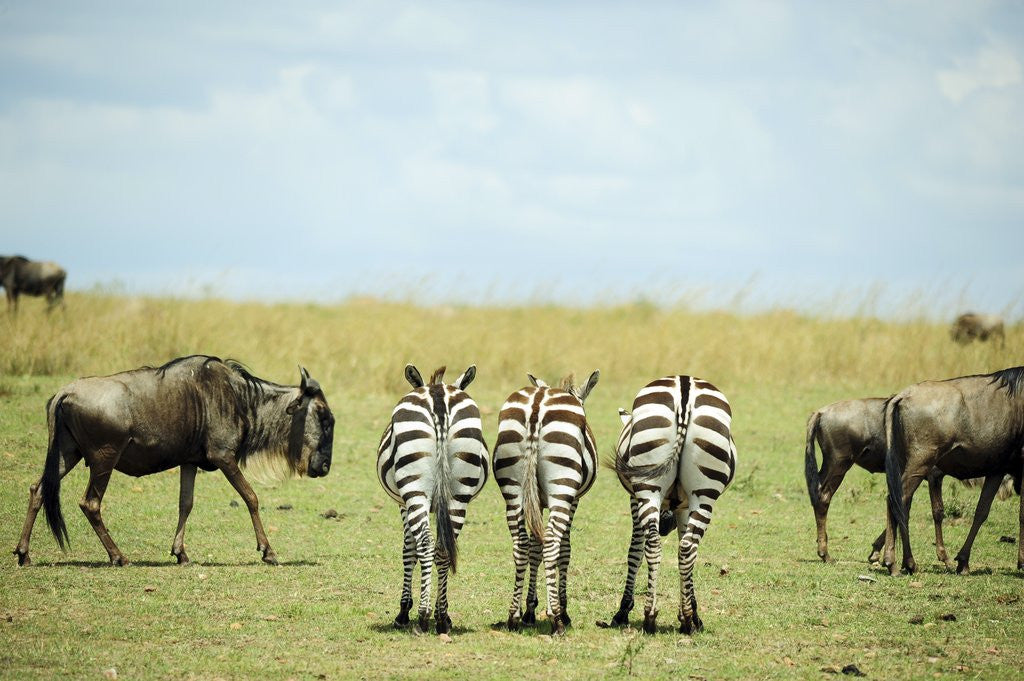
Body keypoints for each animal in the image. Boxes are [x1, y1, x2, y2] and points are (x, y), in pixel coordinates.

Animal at [375, 364, 489, 634]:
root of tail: (438, 393)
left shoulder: (403, 505)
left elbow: (409, 550)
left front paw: (403, 611)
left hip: (414, 488)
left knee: (426, 544)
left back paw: (424, 615)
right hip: (459, 492)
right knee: (444, 549)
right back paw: (442, 618)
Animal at [493, 370, 600, 635]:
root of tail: (537, 404)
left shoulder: (537, 502)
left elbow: (534, 549)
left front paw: (530, 610)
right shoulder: (573, 501)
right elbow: (564, 550)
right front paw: (562, 610)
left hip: (513, 487)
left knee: (520, 544)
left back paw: (513, 616)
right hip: (562, 486)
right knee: (552, 542)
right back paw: (557, 620)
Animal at [605, 376, 737, 635]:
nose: (665, 524)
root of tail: (684, 388)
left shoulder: (639, 500)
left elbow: (636, 551)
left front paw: (623, 612)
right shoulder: (682, 505)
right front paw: (691, 613)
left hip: (653, 488)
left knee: (661, 544)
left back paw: (653, 616)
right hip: (699, 493)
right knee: (683, 547)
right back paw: (676, 619)